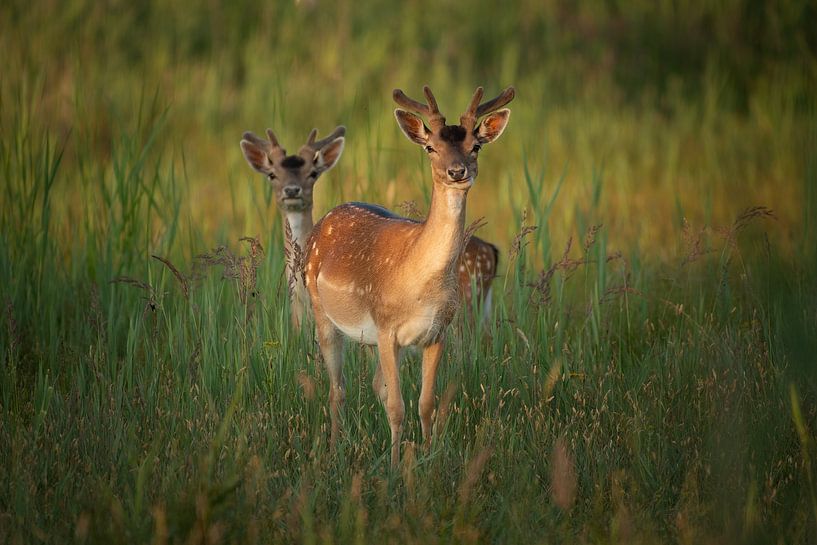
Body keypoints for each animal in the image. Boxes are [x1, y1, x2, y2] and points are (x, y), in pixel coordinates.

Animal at [303, 85, 514, 466]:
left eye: (476, 145)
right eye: (431, 147)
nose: (457, 171)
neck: (421, 285)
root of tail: (324, 220)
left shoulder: (437, 332)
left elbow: (426, 403)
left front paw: (428, 457)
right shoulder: (387, 328)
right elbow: (396, 406)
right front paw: (393, 464)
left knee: (373, 385)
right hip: (321, 310)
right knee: (337, 388)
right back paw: (334, 449)